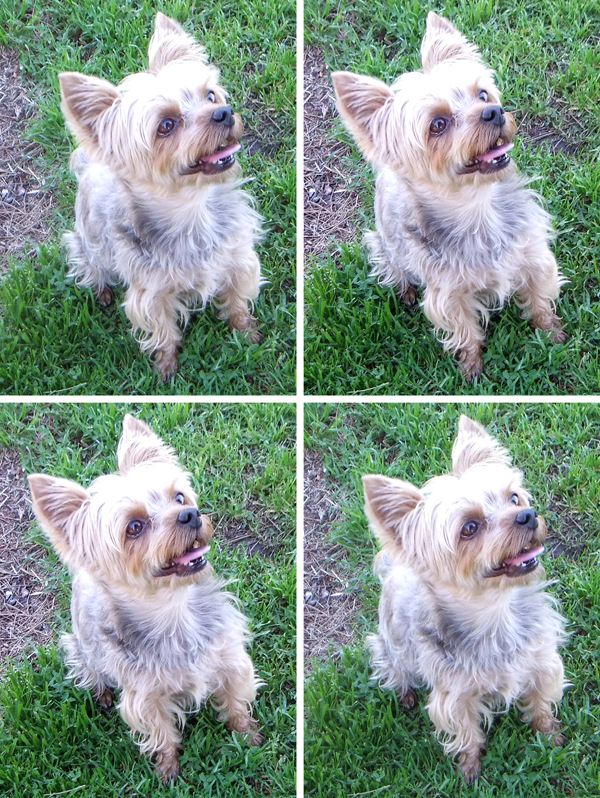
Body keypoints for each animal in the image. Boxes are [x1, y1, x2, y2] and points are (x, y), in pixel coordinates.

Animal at [28, 414, 262, 783]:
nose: (191, 514)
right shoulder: (144, 696)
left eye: (179, 497)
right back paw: (101, 693)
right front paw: (168, 770)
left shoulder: (229, 658)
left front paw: (248, 735)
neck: (172, 611)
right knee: (89, 670)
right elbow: (160, 733)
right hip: (80, 648)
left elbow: (236, 699)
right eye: (134, 527)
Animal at [59, 13, 263, 381]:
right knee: (91, 266)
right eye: (166, 126)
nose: (225, 113)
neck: (191, 210)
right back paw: (102, 290)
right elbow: (162, 329)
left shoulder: (238, 258)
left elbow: (238, 298)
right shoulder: (150, 293)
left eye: (210, 95)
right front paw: (166, 364)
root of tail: (89, 166)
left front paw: (245, 330)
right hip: (87, 244)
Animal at [332, 12, 567, 380]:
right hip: (384, 246)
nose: (495, 112)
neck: (476, 209)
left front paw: (552, 333)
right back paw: (405, 291)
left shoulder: (533, 255)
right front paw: (472, 367)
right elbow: (464, 330)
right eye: (438, 124)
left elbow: (540, 297)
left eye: (482, 94)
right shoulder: (448, 294)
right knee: (394, 268)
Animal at [362, 415, 566, 783]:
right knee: (394, 668)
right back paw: (405, 693)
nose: (528, 515)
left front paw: (549, 733)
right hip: (391, 646)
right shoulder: (454, 695)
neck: (495, 612)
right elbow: (466, 731)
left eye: (514, 498)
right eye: (469, 528)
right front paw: (470, 767)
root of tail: (393, 568)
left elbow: (541, 700)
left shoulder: (542, 660)